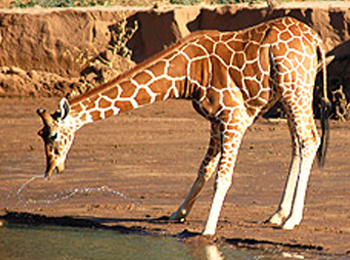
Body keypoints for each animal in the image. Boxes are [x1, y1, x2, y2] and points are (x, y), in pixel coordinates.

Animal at [37, 17, 330, 235]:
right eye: (41, 134)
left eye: (53, 135)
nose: (51, 169)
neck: (187, 72)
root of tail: (316, 40)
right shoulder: (216, 121)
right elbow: (204, 169)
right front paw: (178, 213)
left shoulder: (233, 117)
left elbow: (222, 177)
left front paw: (208, 229)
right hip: (289, 93)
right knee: (297, 143)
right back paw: (278, 215)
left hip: (295, 88)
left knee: (309, 140)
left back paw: (292, 220)